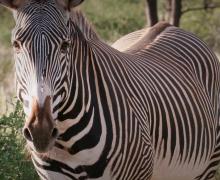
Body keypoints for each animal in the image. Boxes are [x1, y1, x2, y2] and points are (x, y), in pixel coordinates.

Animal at [0, 0, 220, 180]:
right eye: (16, 45)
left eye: (65, 45)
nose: (41, 131)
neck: (67, 141)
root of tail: (170, 26)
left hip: (207, 167)